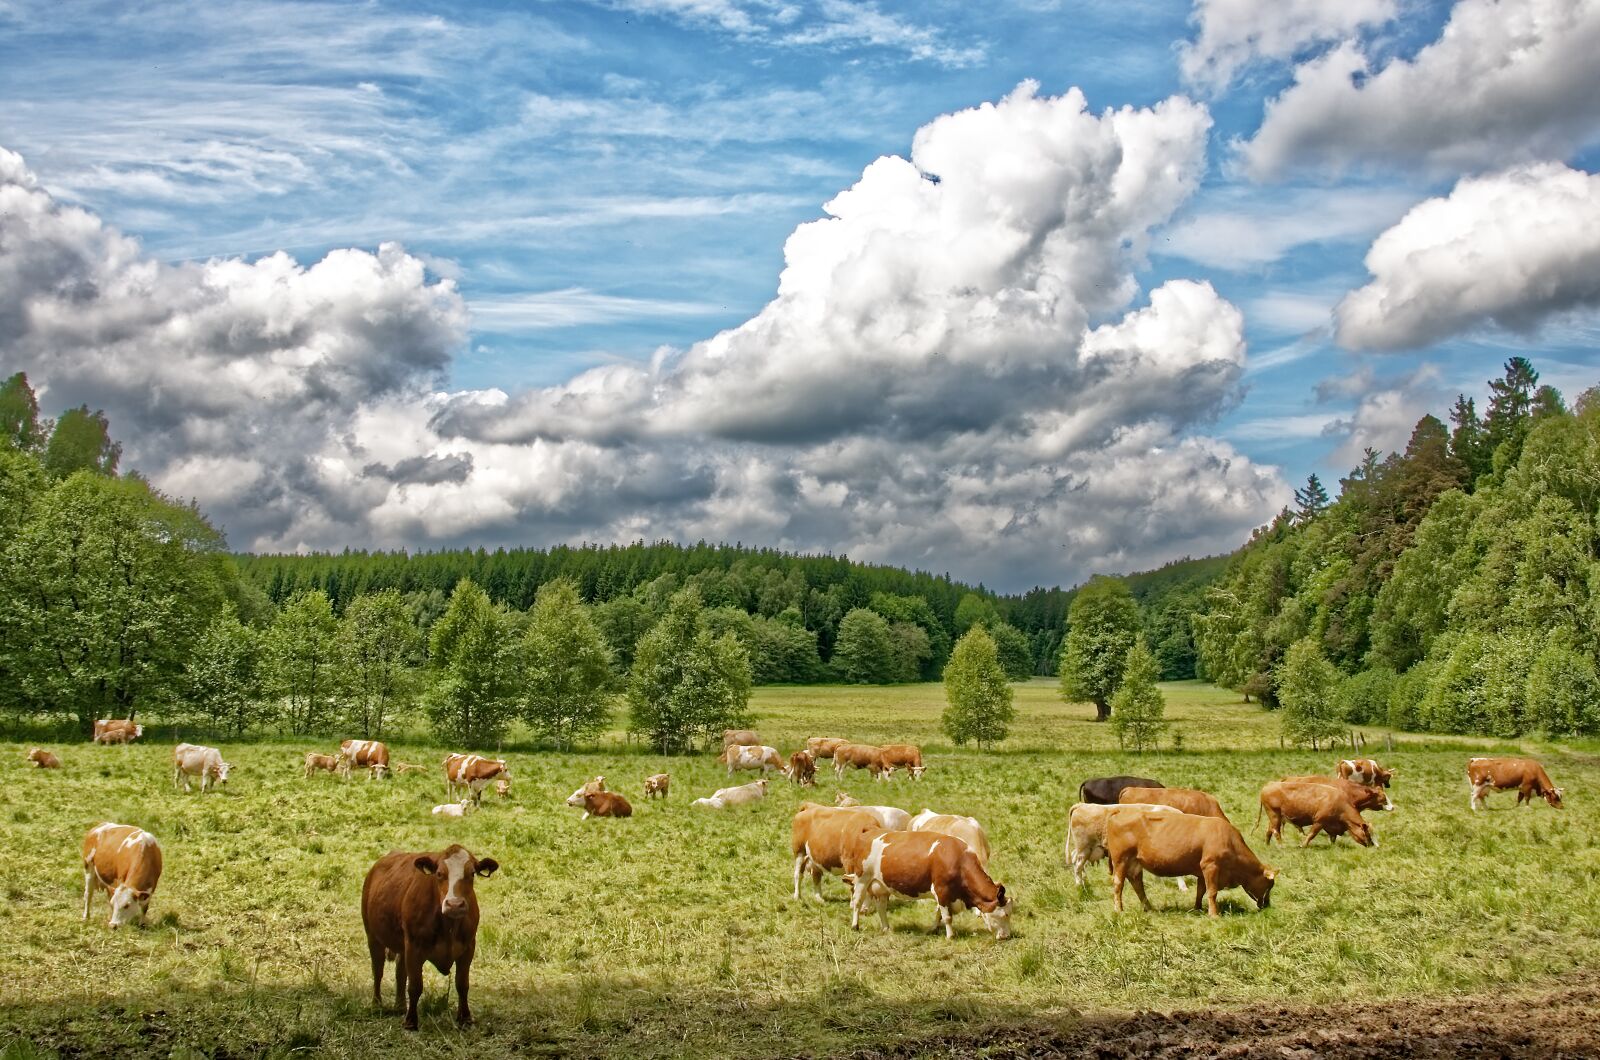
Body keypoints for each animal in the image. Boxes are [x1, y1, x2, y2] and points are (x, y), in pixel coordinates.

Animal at [361, 844, 498, 1030]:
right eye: (439, 873)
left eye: (471, 873)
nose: (455, 904)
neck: (448, 925)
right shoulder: (414, 946)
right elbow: (415, 985)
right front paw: (411, 1022)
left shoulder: (468, 947)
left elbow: (462, 984)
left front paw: (465, 1018)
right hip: (373, 936)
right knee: (378, 970)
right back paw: (376, 1004)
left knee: (400, 971)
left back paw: (400, 1006)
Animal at [845, 830, 1013, 940]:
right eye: (1006, 914)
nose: (1007, 936)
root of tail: (867, 833)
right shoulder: (941, 890)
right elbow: (947, 917)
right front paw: (950, 936)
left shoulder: (945, 895)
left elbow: (939, 913)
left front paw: (933, 929)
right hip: (862, 878)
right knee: (857, 903)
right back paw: (855, 926)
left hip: (881, 886)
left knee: (881, 907)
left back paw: (886, 928)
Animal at [1105, 811, 1276, 918]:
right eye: (1269, 885)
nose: (1267, 905)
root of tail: (1119, 812)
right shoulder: (1211, 865)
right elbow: (1212, 891)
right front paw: (1214, 914)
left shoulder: (1202, 870)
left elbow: (1201, 890)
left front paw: (1197, 908)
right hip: (1120, 860)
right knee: (1118, 884)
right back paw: (1119, 910)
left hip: (1135, 862)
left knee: (1137, 884)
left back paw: (1149, 908)